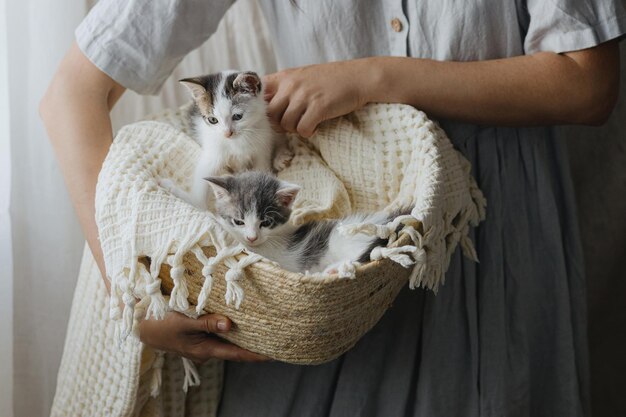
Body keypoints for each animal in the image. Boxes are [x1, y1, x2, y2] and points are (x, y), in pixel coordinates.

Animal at [158, 70, 290, 211]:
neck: (237, 141)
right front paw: (189, 199)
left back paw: (281, 156)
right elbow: (200, 196)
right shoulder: (213, 150)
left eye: (238, 116)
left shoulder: (262, 142)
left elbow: (261, 168)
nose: (227, 133)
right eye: (212, 120)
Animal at [202, 171, 402, 274]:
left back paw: (333, 270)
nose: (252, 237)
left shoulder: (269, 253)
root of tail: (386, 223)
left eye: (266, 222)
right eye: (239, 221)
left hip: (345, 239)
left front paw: (212, 220)